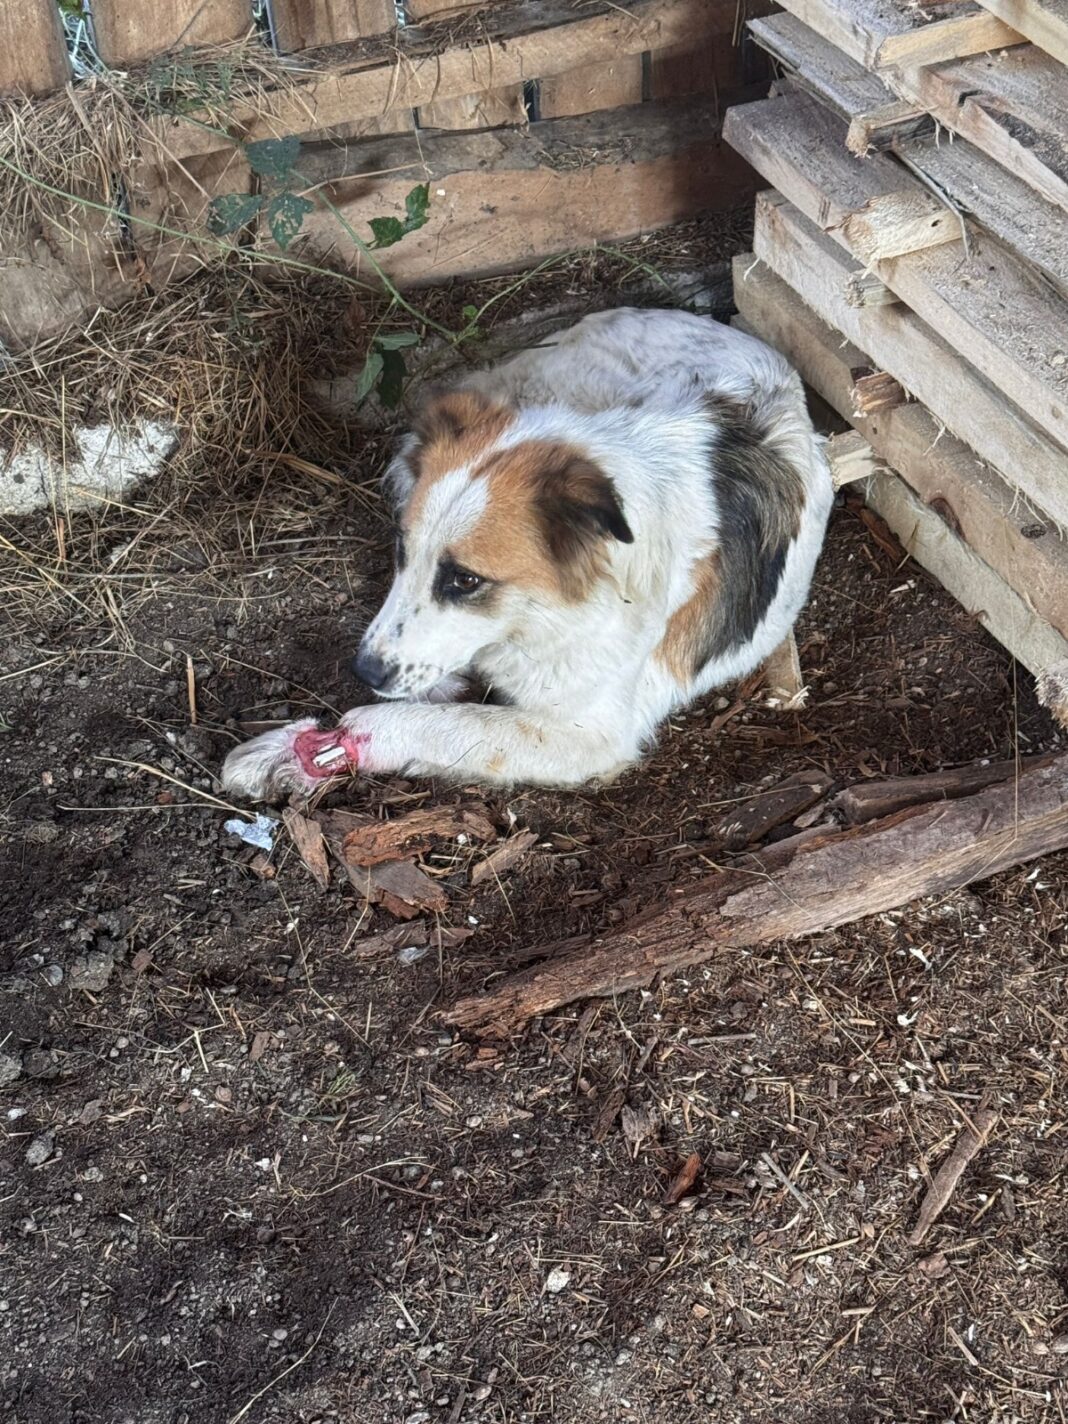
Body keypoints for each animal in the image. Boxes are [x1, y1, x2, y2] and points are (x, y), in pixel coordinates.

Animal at [222, 307, 831, 803]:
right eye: (401, 549)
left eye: (466, 580)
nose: (363, 669)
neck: (556, 612)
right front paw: (283, 751)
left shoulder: (587, 737)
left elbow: (433, 723)